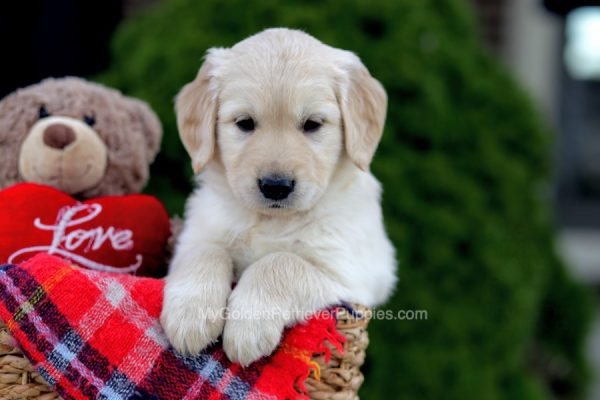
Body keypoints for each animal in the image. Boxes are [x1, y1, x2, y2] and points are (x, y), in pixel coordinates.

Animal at [162, 28, 396, 366]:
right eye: (245, 123)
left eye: (312, 124)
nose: (275, 186)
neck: (271, 220)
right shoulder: (194, 236)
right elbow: (206, 251)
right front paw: (190, 314)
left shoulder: (351, 273)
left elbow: (281, 262)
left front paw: (248, 325)